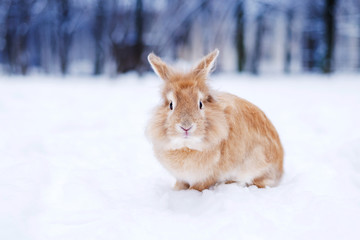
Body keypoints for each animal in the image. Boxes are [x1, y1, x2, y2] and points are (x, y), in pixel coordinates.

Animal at [145, 49, 282, 191]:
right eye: (171, 105)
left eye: (200, 104)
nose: (186, 126)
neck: (187, 146)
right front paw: (177, 190)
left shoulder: (206, 178)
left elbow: (198, 186)